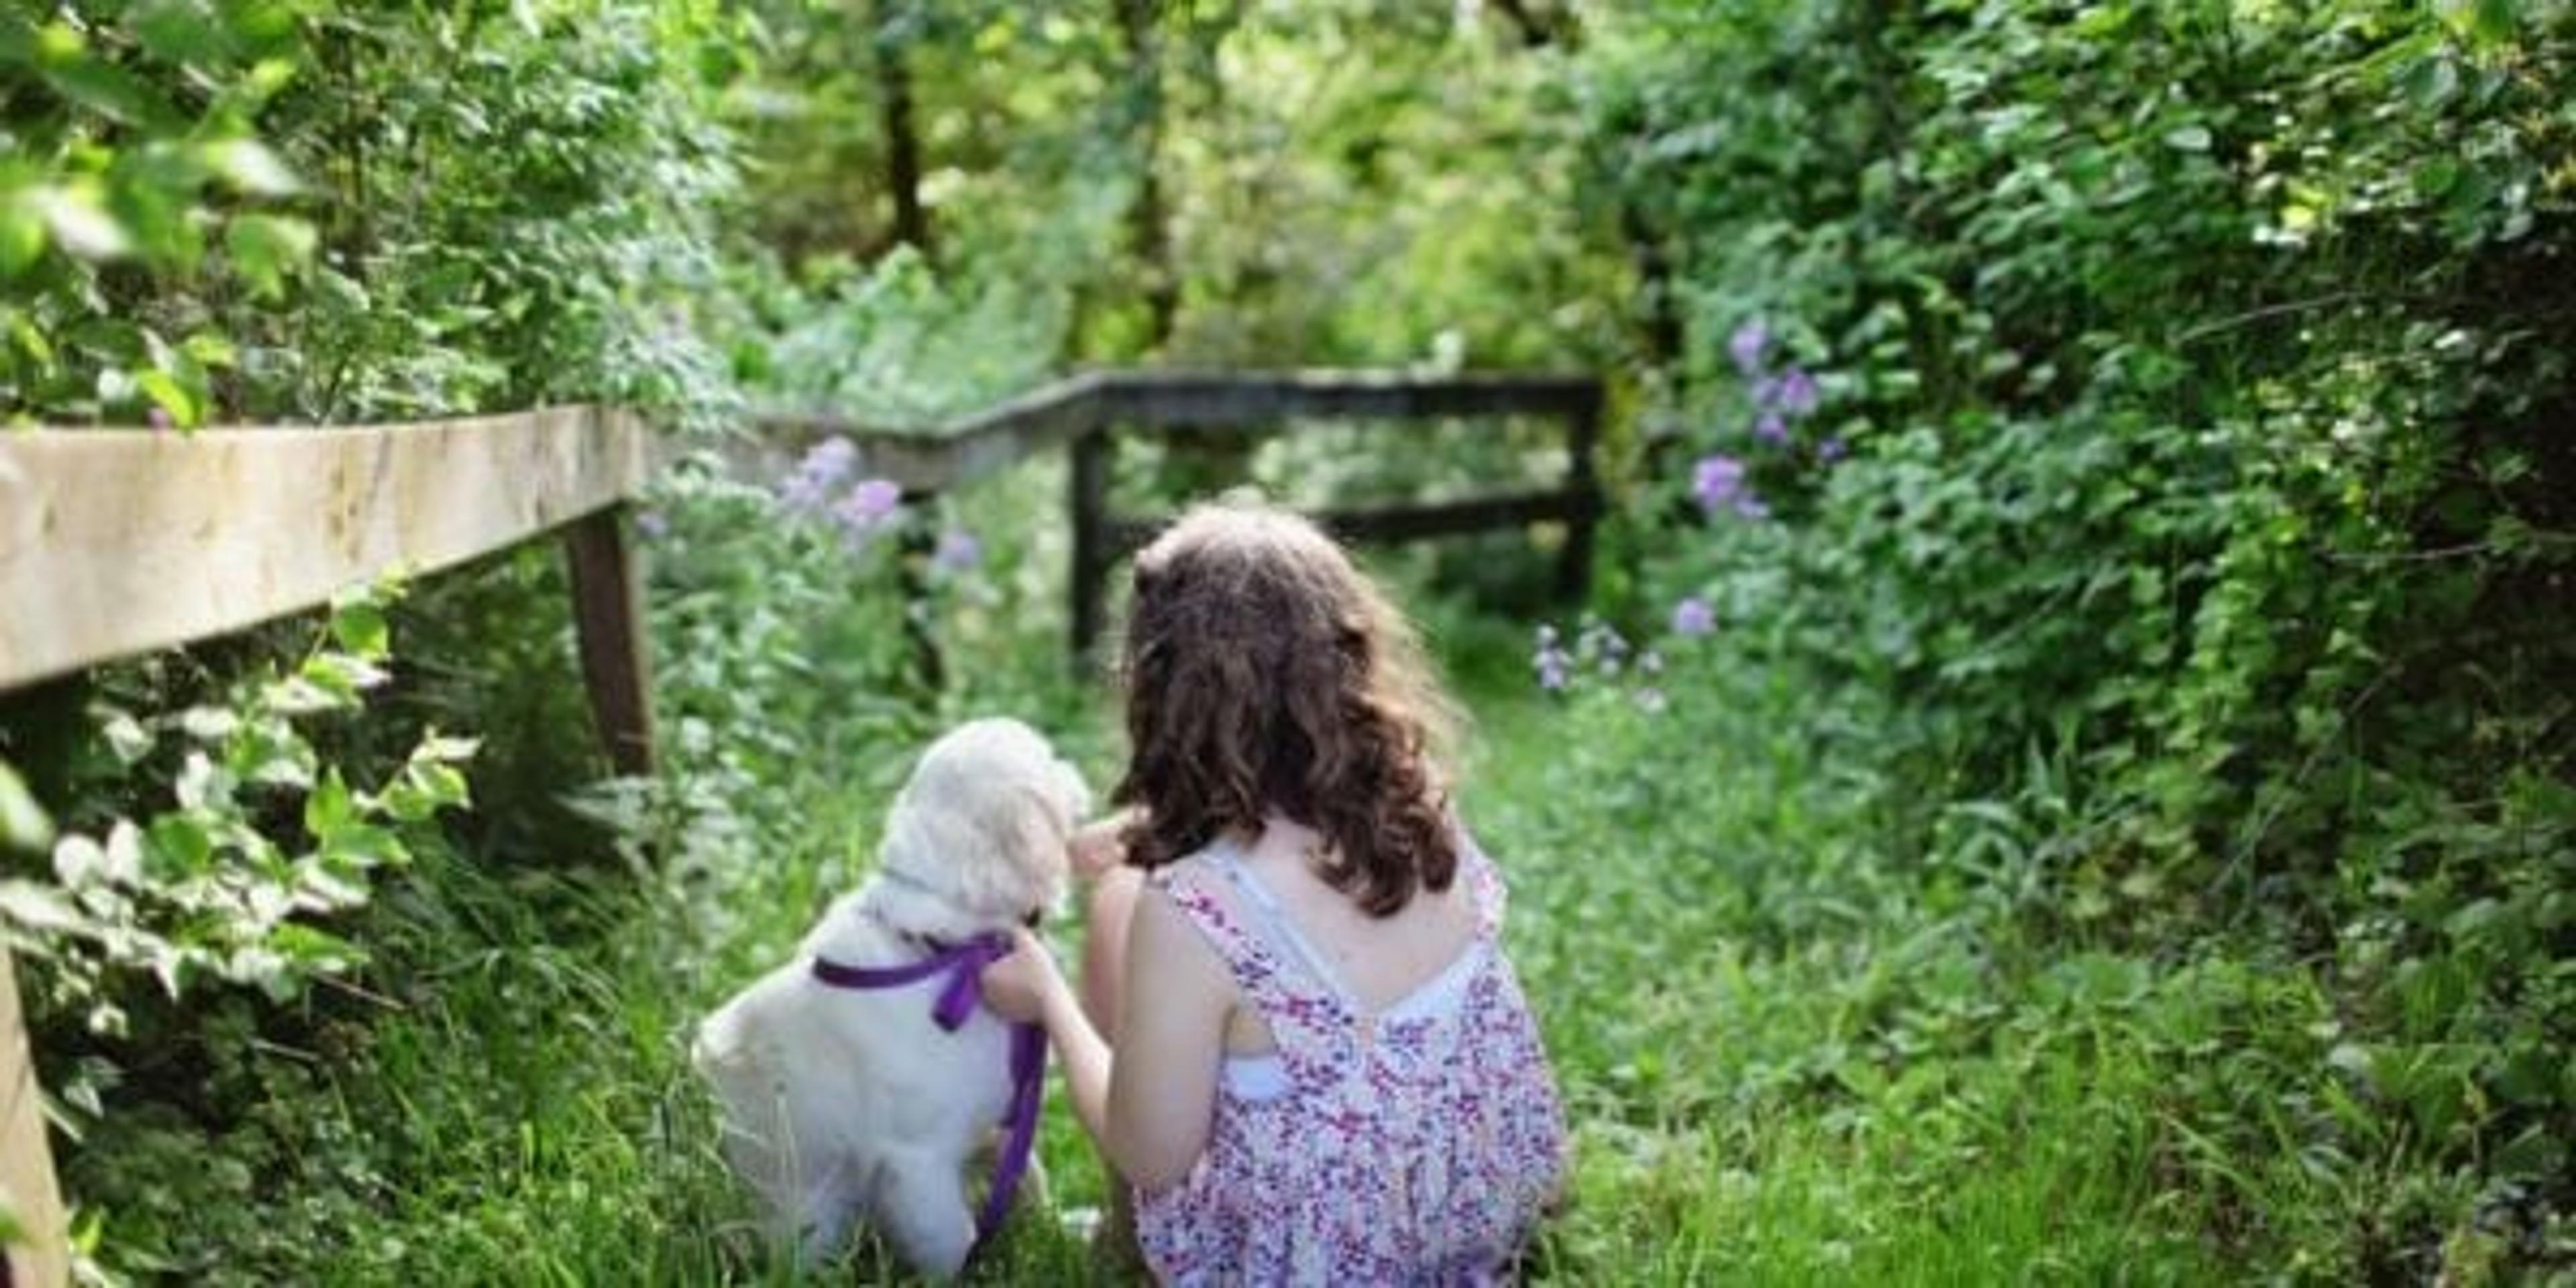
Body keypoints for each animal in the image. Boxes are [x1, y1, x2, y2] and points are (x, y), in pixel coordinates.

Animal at [690, 721, 1081, 1272]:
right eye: (1046, 761)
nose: (1074, 770)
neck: (948, 951)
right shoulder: (917, 1161)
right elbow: (952, 1239)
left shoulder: (1000, 1123)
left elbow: (1031, 1179)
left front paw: (1061, 1231)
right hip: (812, 1211)